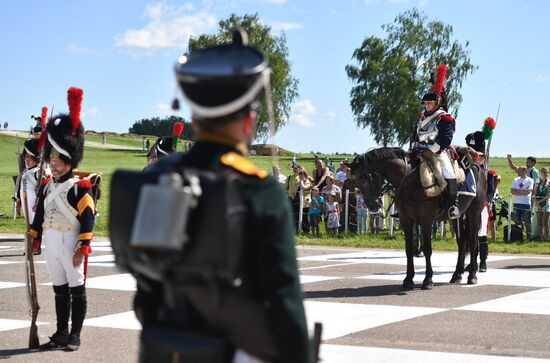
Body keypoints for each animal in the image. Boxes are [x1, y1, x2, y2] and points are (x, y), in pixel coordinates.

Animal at [352, 146, 490, 292]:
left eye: (365, 177)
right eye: (356, 180)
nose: (372, 205)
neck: (409, 180)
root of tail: (479, 168)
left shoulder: (426, 220)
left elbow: (427, 249)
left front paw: (428, 280)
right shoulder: (406, 220)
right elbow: (409, 250)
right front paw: (408, 280)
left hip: (474, 213)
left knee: (473, 241)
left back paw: (472, 276)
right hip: (456, 217)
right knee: (462, 242)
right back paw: (457, 275)